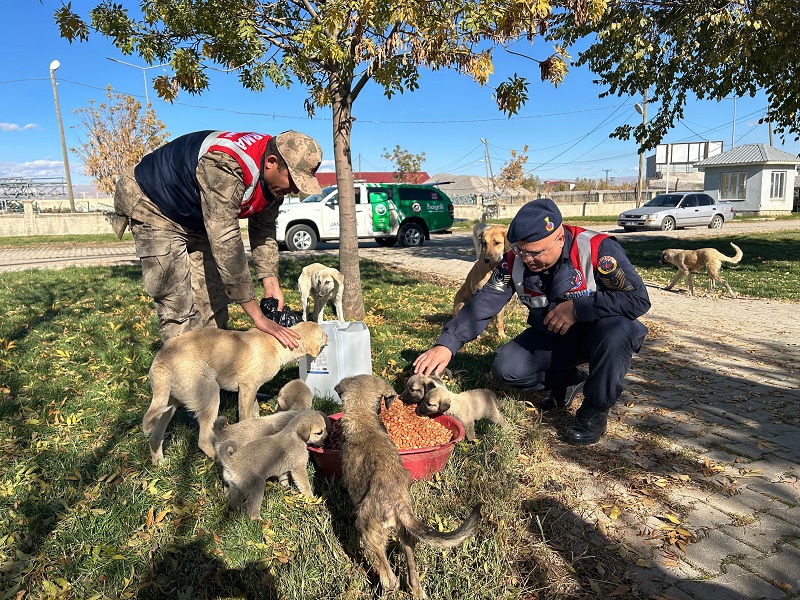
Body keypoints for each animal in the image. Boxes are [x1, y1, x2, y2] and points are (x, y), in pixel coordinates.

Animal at [144, 324, 328, 464]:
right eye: (322, 333)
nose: (328, 336)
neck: (276, 345)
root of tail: (162, 359)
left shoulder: (250, 389)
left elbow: (254, 411)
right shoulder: (248, 387)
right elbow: (245, 416)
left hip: (168, 406)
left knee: (155, 437)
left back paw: (160, 463)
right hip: (211, 395)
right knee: (203, 440)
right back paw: (220, 459)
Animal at [338, 372, 482, 596]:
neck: (362, 415)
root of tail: (398, 504)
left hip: (370, 534)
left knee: (390, 578)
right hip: (406, 536)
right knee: (413, 576)